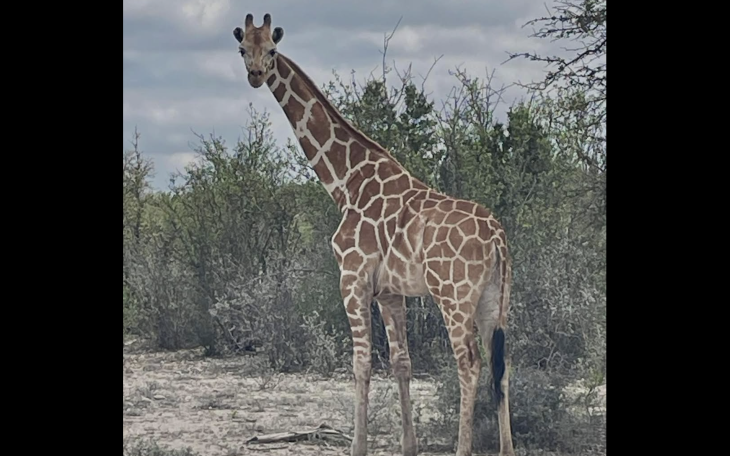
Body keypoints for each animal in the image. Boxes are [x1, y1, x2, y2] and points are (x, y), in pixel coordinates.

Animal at [232, 13, 516, 456]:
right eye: (242, 47)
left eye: (273, 50)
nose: (256, 75)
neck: (346, 182)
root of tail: (498, 238)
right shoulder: (390, 291)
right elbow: (402, 363)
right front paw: (409, 446)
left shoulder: (352, 278)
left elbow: (361, 362)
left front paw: (357, 445)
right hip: (494, 298)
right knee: (501, 365)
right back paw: (507, 449)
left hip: (453, 295)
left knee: (469, 363)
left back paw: (463, 448)